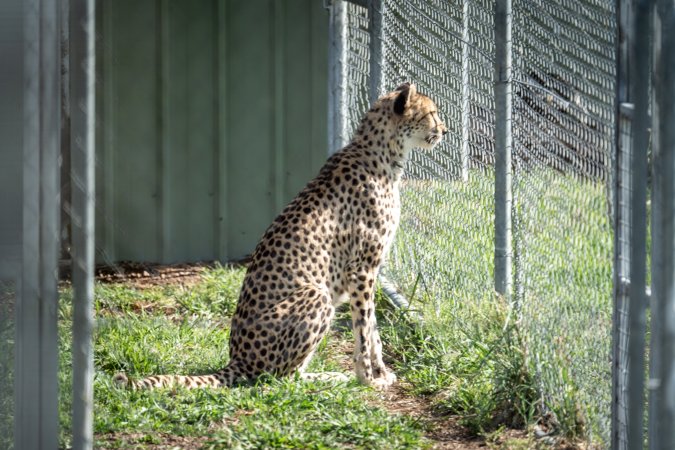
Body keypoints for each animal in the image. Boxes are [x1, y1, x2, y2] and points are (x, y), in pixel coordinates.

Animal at [114, 82, 447, 390]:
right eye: (432, 113)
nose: (445, 129)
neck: (382, 153)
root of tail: (237, 360)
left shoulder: (368, 270)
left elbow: (372, 328)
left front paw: (379, 373)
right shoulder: (362, 269)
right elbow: (364, 329)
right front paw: (368, 378)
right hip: (317, 295)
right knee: (280, 377)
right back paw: (329, 377)